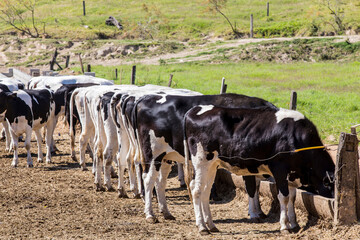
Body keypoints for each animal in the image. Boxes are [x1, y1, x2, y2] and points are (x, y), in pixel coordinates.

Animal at [131, 94, 276, 223]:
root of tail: (146, 98)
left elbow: (256, 186)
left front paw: (260, 212)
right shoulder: (244, 162)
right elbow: (251, 187)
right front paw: (254, 214)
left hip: (166, 156)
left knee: (160, 181)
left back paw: (166, 213)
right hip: (152, 153)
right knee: (148, 179)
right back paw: (150, 214)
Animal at [184, 106, 336, 234]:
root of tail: (194, 109)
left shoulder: (292, 174)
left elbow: (292, 198)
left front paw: (294, 224)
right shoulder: (279, 170)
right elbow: (284, 197)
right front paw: (284, 226)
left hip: (212, 165)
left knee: (205, 190)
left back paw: (211, 225)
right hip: (202, 161)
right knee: (196, 190)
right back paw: (202, 227)